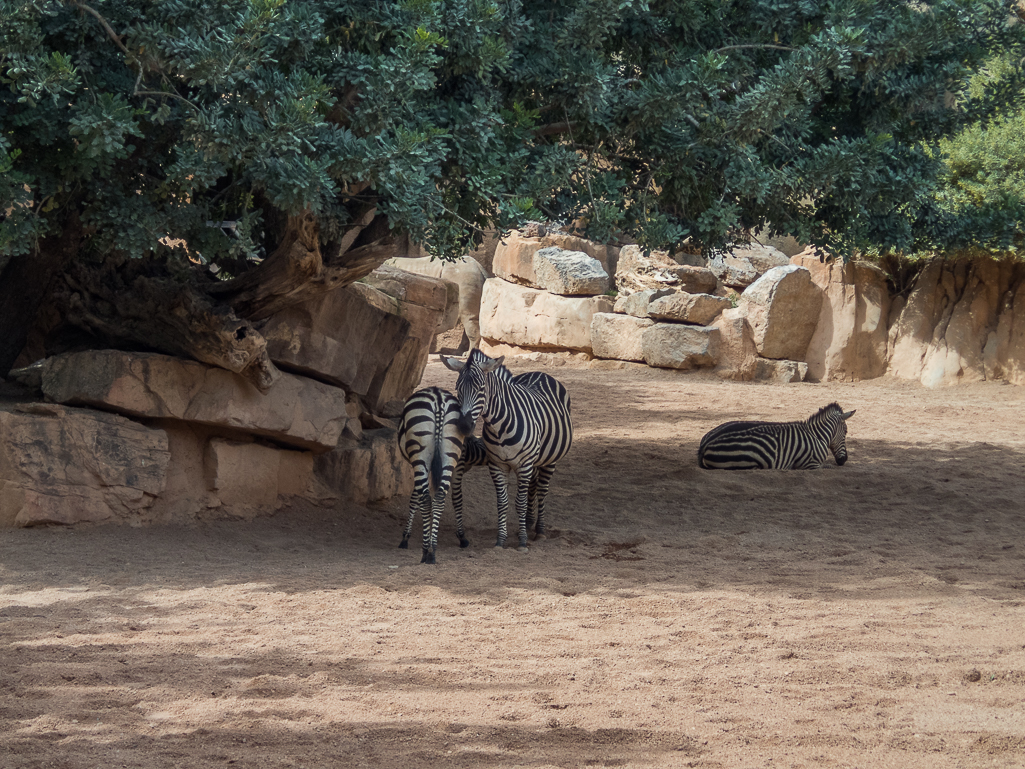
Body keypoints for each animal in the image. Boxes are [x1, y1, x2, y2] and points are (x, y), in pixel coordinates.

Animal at [395, 387, 471, 561]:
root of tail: (438, 397)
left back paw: (426, 552)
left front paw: (405, 537)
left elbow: (414, 499)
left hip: (419, 456)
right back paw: (433, 549)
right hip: (451, 451)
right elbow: (456, 498)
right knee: (440, 498)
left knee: (425, 499)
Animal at [438, 348, 574, 553]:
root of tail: (540, 373)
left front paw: (523, 542)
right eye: (457, 388)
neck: (499, 426)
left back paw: (539, 530)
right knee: (533, 486)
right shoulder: (497, 465)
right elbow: (502, 502)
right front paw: (501, 540)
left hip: (549, 459)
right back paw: (527, 523)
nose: (464, 426)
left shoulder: (524, 465)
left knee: (542, 490)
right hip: (534, 460)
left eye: (481, 389)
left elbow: (519, 502)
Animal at [697, 403, 856, 469]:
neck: (817, 435)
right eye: (846, 432)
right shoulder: (811, 464)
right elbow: (827, 467)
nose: (843, 460)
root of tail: (705, 444)